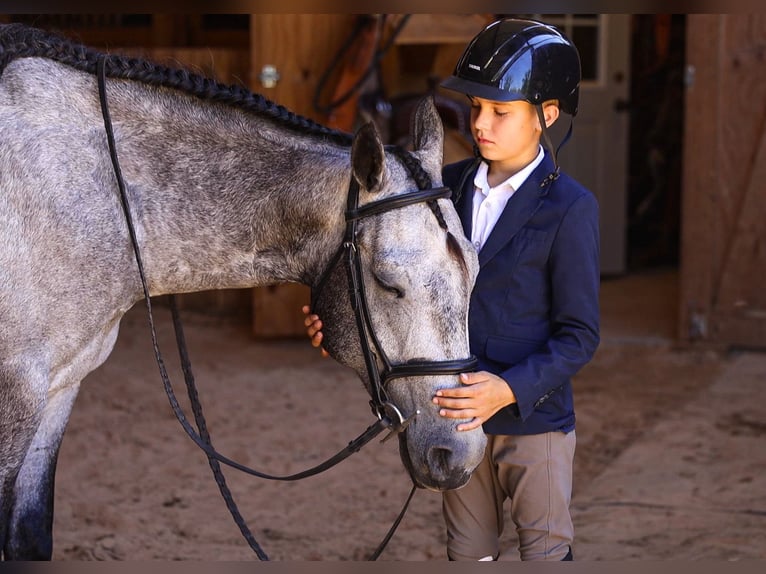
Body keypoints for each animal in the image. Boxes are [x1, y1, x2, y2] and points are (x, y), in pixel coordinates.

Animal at [0, 24, 485, 560]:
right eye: (387, 281)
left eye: (474, 271)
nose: (457, 453)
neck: (95, 192)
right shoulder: (15, 393)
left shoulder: (60, 389)